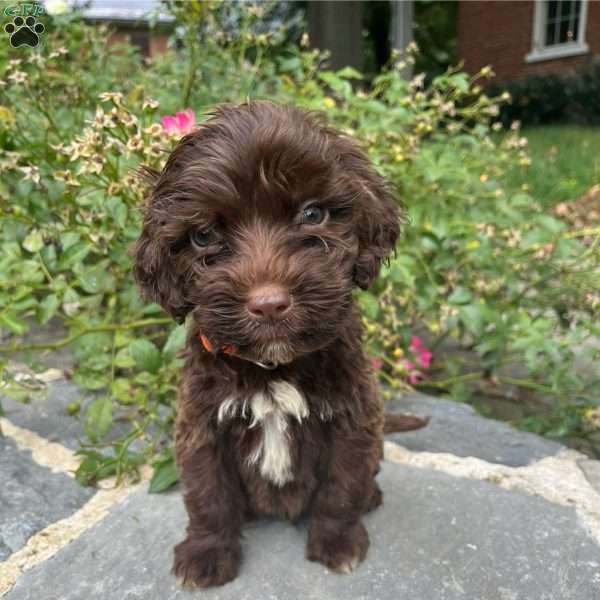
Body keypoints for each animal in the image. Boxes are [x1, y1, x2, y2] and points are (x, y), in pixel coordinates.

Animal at [132, 102, 422, 584]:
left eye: (312, 214)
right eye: (204, 236)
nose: (268, 304)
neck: (274, 367)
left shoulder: (353, 418)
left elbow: (342, 486)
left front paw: (338, 542)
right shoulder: (202, 425)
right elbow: (207, 494)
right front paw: (207, 551)